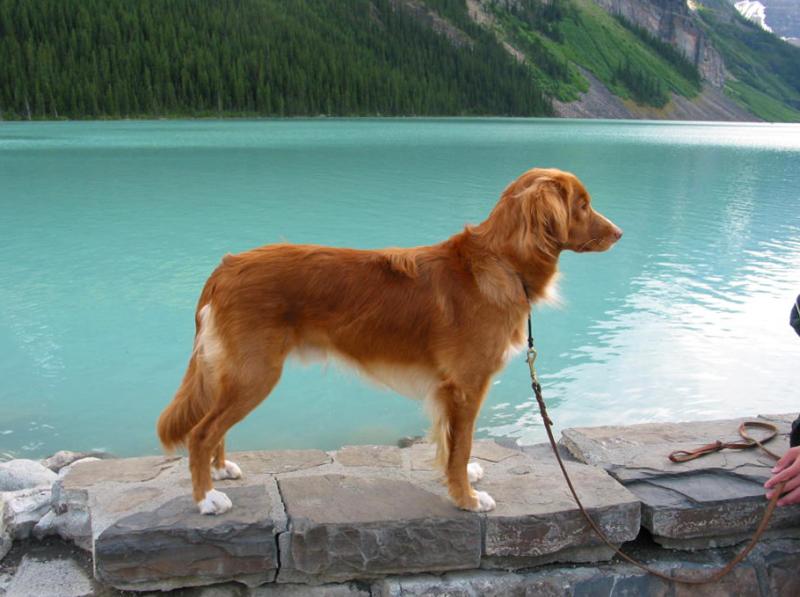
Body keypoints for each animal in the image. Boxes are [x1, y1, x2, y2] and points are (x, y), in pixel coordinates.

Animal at [155, 166, 620, 512]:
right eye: (582, 205)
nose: (619, 233)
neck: (499, 262)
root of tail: (227, 266)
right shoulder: (466, 385)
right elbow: (463, 442)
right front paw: (466, 498)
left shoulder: (449, 390)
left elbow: (452, 441)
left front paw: (461, 476)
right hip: (256, 374)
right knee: (201, 431)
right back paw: (206, 499)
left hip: (238, 373)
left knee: (212, 426)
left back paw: (220, 469)